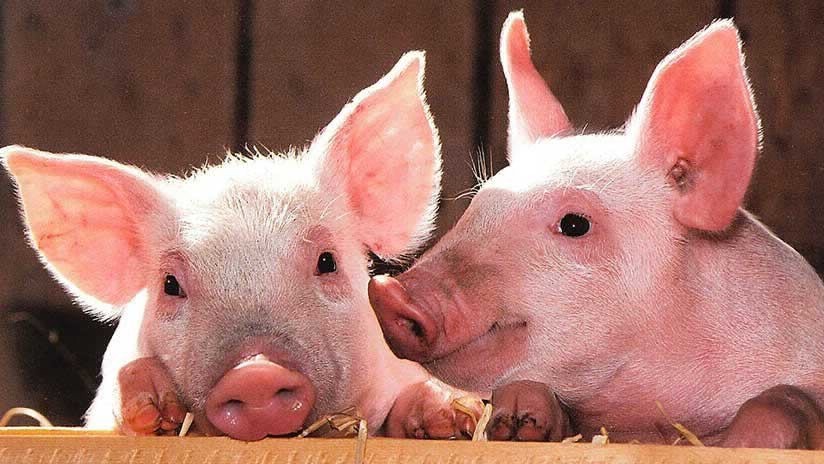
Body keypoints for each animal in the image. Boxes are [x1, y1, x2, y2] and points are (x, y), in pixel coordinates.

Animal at [368, 14, 824, 449]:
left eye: (575, 224)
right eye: (478, 206)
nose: (388, 291)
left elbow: (784, 399)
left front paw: (741, 443)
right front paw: (517, 418)